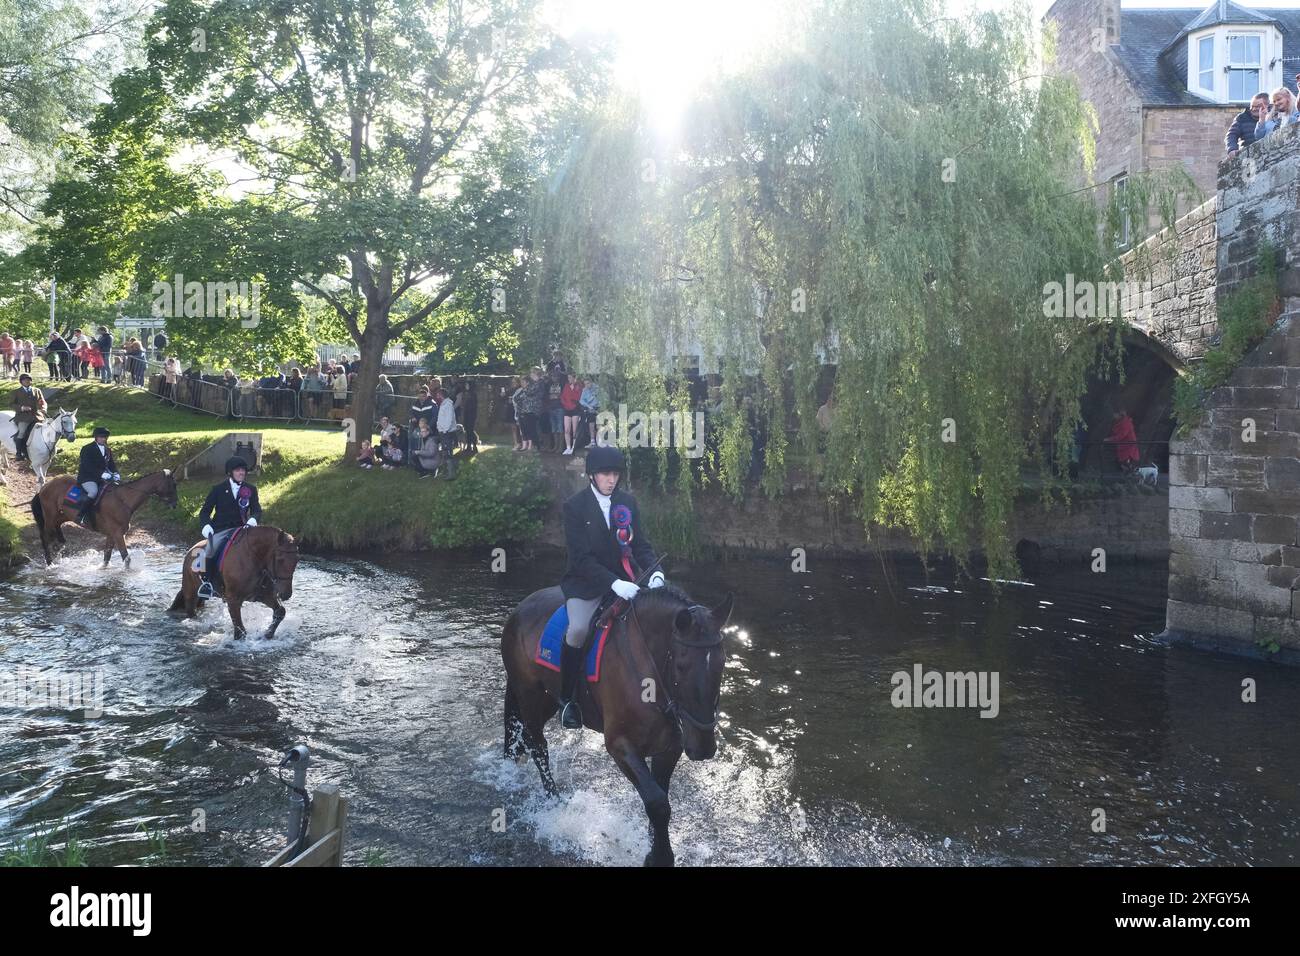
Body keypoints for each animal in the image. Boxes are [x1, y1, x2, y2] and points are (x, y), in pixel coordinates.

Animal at [32, 470, 179, 567]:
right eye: (173, 485)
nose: (175, 504)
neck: (123, 500)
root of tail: (44, 487)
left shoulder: (111, 535)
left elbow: (106, 557)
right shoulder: (118, 534)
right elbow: (126, 558)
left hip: (61, 516)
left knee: (56, 531)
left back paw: (59, 546)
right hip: (50, 517)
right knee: (45, 537)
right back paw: (50, 562)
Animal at [166, 522, 297, 642]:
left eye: (296, 561)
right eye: (280, 560)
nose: (286, 594)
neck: (253, 559)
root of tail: (190, 551)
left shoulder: (265, 595)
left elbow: (280, 612)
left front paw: (267, 634)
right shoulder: (233, 599)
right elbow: (240, 632)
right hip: (190, 593)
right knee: (191, 612)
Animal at [501, 582, 738, 868]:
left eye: (722, 662)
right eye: (681, 666)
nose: (703, 748)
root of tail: (521, 608)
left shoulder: (669, 747)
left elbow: (661, 798)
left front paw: (654, 848)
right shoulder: (621, 746)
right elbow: (658, 803)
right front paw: (660, 857)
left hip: (548, 698)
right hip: (530, 697)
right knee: (538, 746)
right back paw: (555, 804)